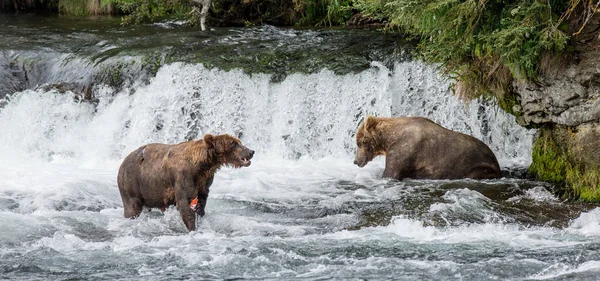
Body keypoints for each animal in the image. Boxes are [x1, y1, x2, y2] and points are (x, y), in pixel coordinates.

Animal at [117, 135, 253, 231]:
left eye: (239, 142)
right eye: (234, 143)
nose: (251, 151)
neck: (203, 164)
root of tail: (124, 160)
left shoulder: (204, 180)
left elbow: (203, 197)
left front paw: (200, 211)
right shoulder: (184, 176)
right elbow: (185, 203)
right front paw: (192, 228)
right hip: (132, 183)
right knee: (132, 207)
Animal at [352, 115, 502, 179]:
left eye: (358, 142)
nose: (355, 161)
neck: (389, 139)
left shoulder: (403, 148)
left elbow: (391, 172)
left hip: (478, 165)